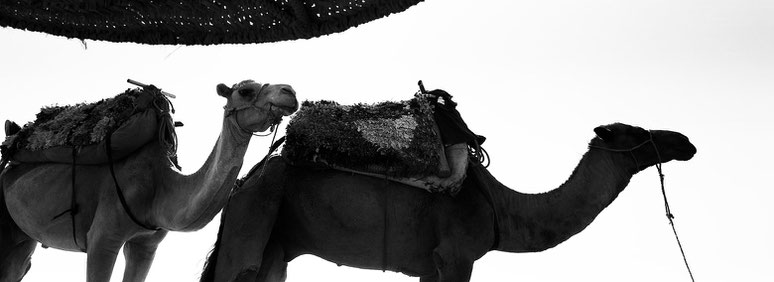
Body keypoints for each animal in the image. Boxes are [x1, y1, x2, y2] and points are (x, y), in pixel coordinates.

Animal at [0, 80, 300, 282]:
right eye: (246, 90)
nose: (290, 92)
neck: (161, 187)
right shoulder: (102, 237)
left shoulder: (147, 245)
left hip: (23, 236)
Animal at [199, 122, 696, 282]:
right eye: (634, 132)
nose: (685, 141)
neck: (500, 205)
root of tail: (244, 182)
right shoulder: (457, 255)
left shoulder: (431, 263)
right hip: (255, 217)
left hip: (276, 243)